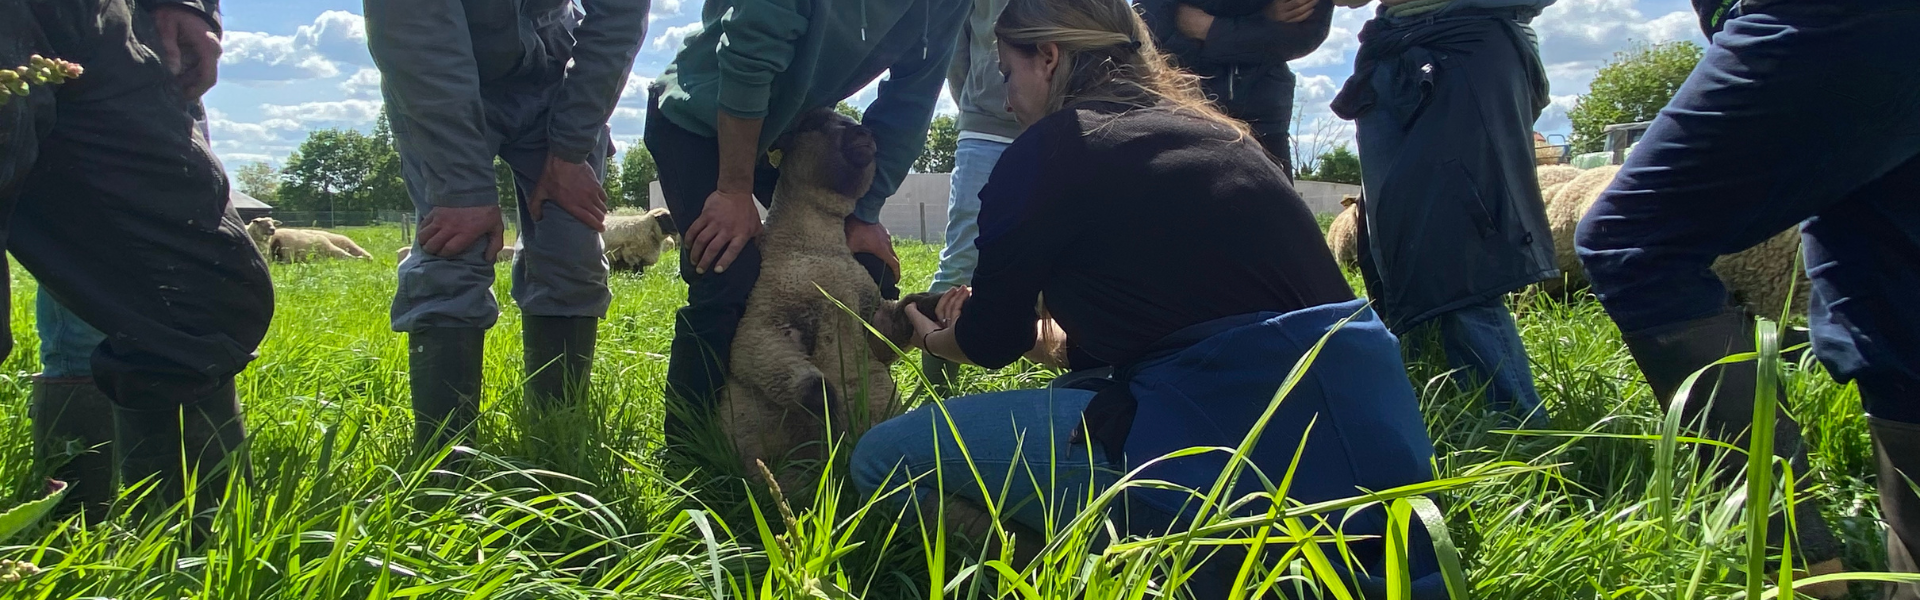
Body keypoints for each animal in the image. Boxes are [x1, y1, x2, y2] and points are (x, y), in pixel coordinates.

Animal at [721, 109, 910, 492]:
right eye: (812, 123)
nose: (865, 133)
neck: (817, 248)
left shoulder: (869, 316)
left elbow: (891, 333)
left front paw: (927, 307)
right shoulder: (763, 321)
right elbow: (769, 363)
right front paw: (828, 405)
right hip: (758, 446)